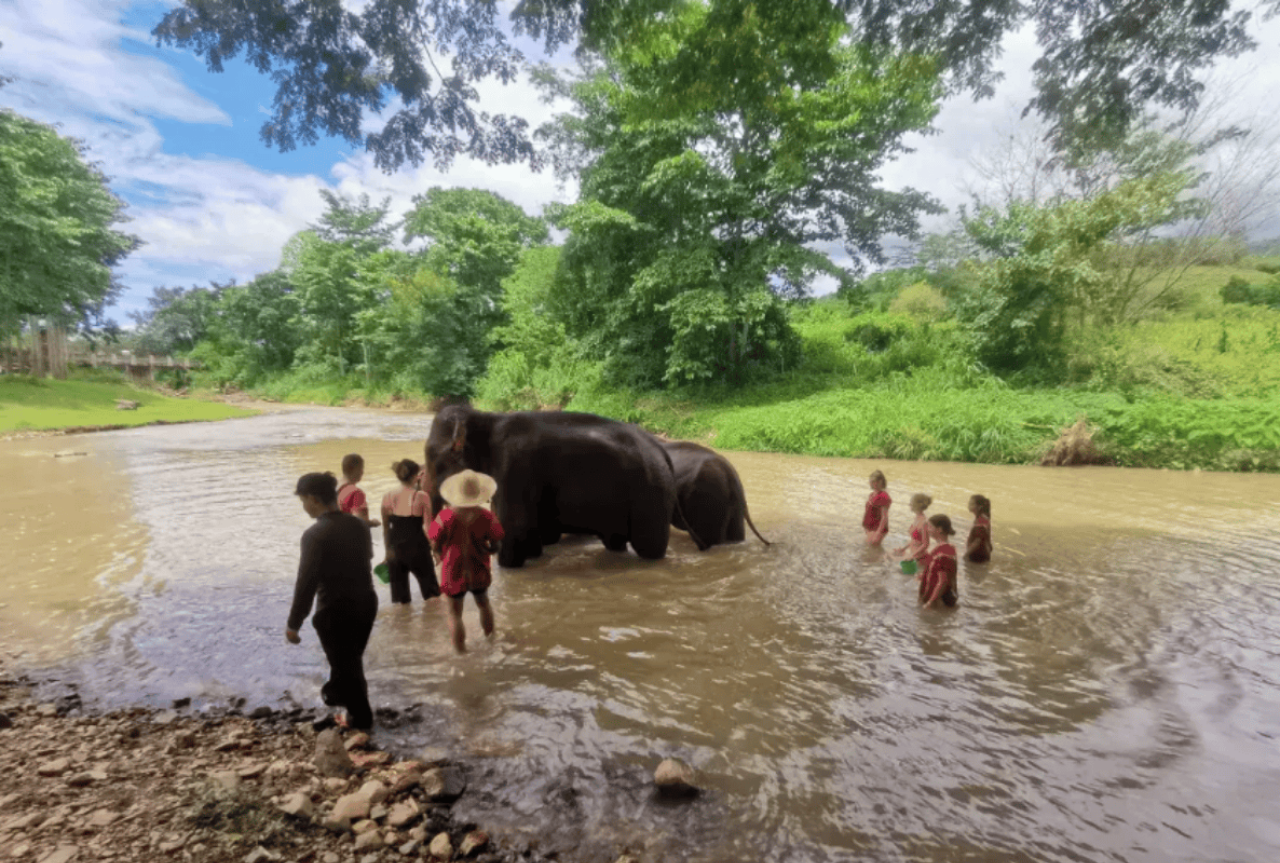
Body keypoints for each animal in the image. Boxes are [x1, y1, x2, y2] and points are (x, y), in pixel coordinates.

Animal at [424, 405, 680, 568]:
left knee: (650, 547)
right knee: (616, 542)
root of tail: (663, 452)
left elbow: (514, 530)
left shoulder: (513, 469)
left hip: (651, 495)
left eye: (435, 462)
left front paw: (507, 564)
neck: (486, 419)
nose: (437, 558)